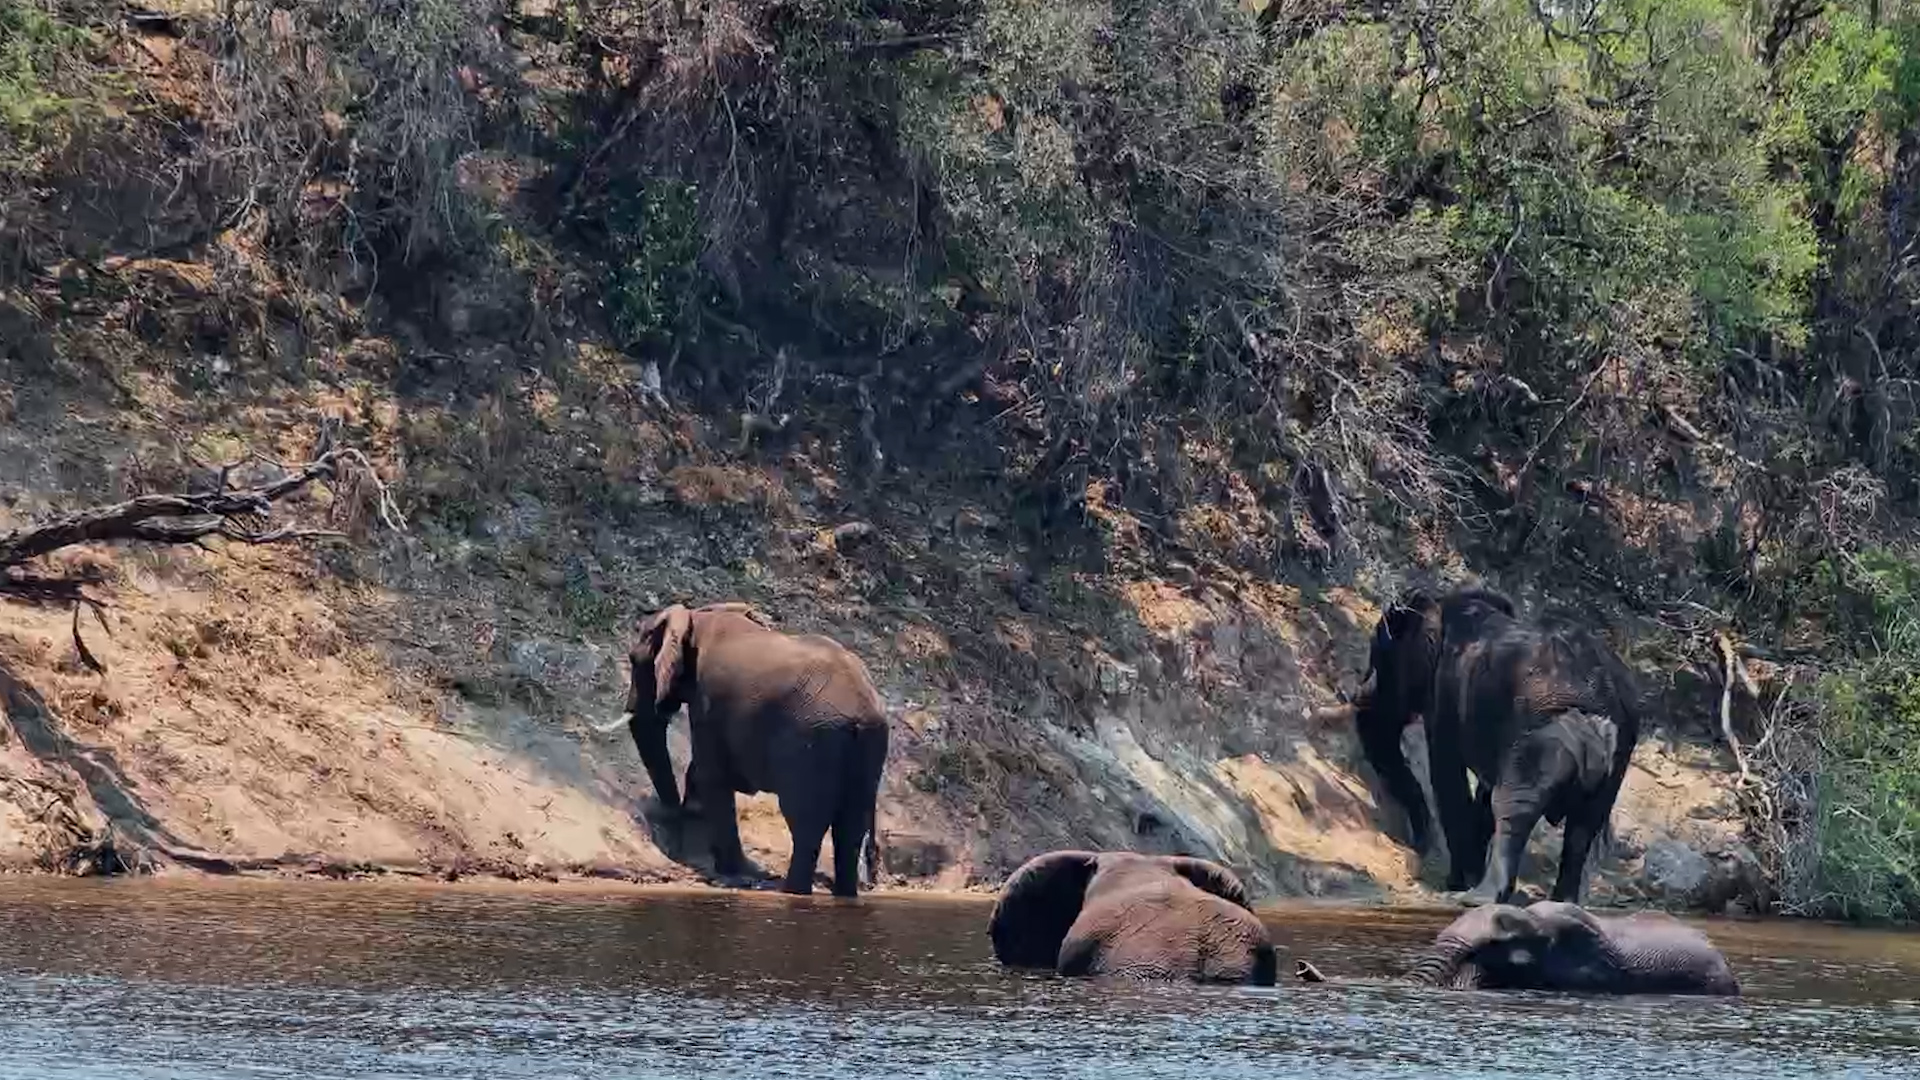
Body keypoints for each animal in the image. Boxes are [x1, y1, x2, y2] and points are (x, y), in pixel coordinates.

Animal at [604, 601, 890, 897]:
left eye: (634, 660)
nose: (670, 814)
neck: (696, 616)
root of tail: (862, 708)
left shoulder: (708, 697)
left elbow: (711, 774)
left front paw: (732, 872)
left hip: (813, 743)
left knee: (806, 823)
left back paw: (791, 891)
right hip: (870, 742)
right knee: (851, 826)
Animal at [1352, 586, 1644, 904]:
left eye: (1379, 656)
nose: (1418, 845)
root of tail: (1599, 712)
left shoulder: (1446, 696)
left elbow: (1448, 778)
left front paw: (1457, 882)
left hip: (1543, 738)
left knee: (1513, 807)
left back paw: (1478, 897)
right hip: (1617, 755)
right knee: (1584, 826)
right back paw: (1562, 902)